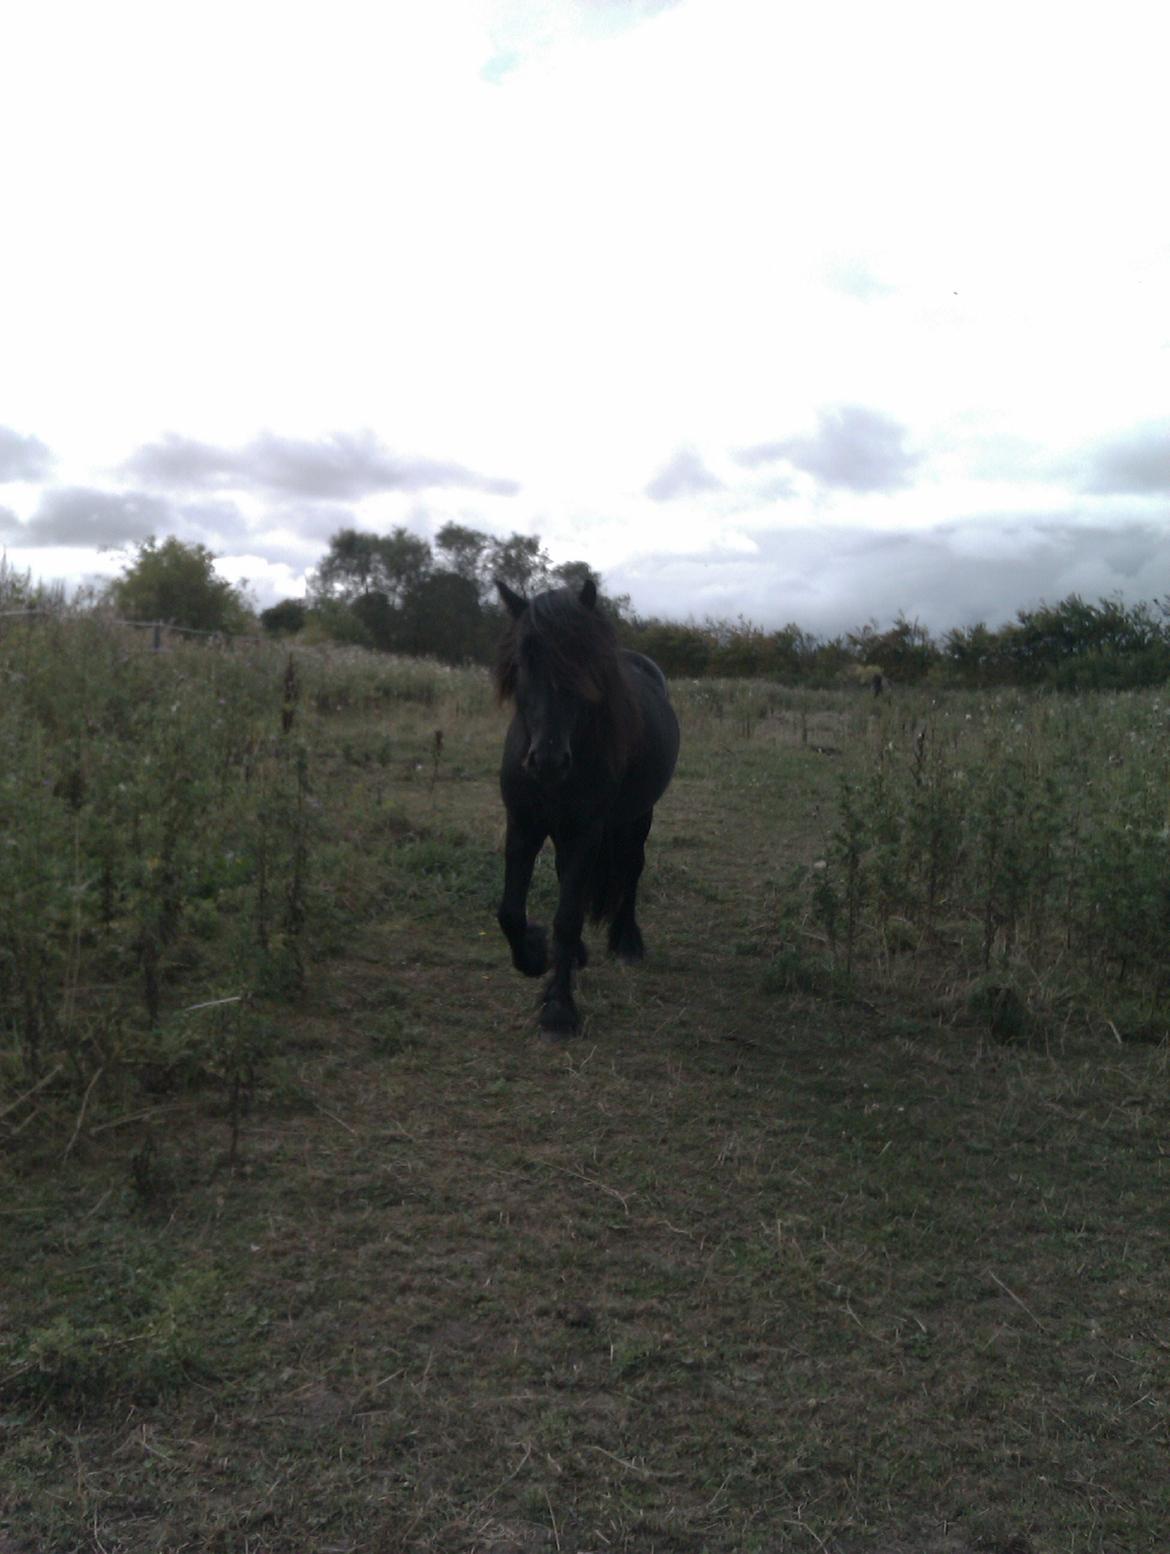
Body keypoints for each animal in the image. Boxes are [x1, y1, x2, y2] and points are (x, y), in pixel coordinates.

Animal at [493, 577, 680, 1036]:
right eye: (523, 661)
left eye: (583, 664)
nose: (548, 761)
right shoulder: (523, 824)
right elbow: (510, 912)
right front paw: (534, 956)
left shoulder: (585, 831)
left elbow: (568, 916)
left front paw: (559, 1007)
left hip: (636, 818)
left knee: (631, 870)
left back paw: (627, 942)